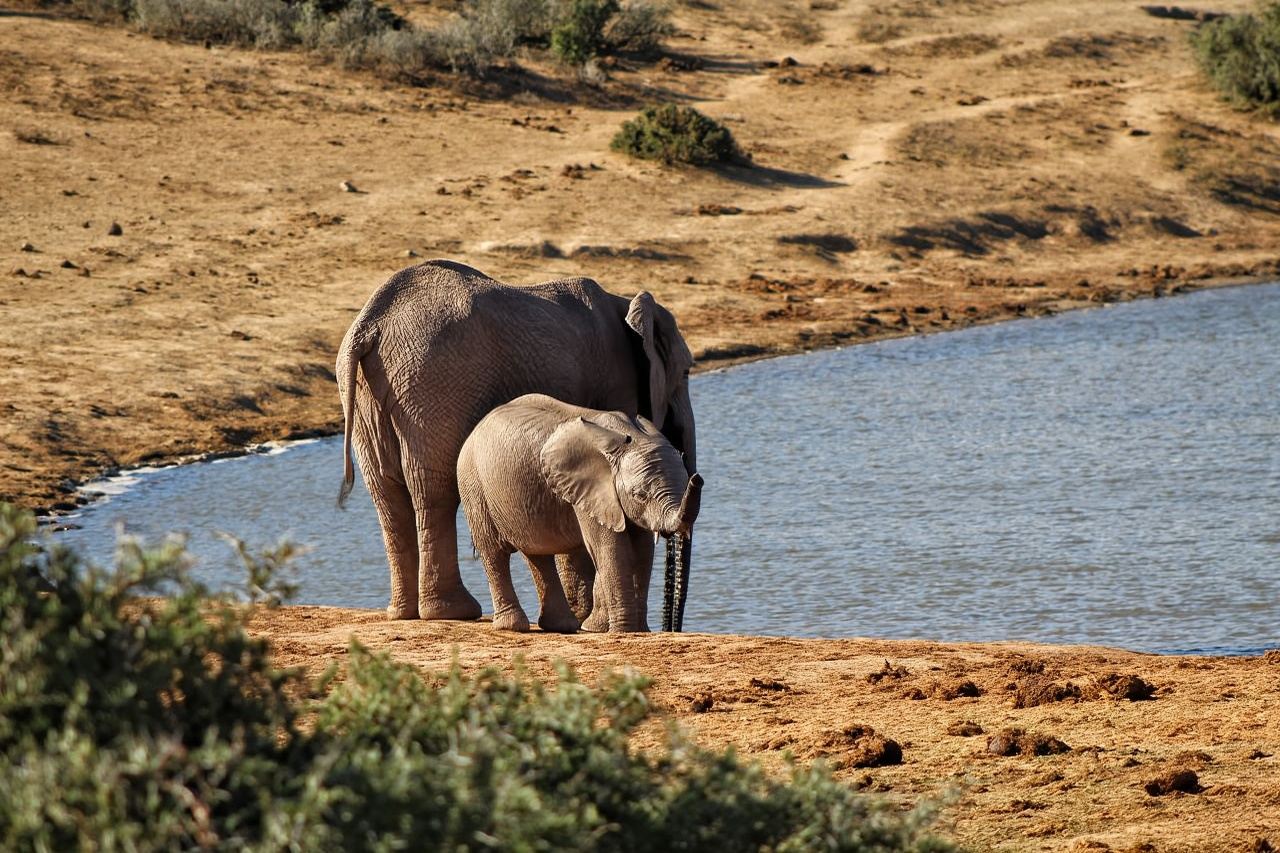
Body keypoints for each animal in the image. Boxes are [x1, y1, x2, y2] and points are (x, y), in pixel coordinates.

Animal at [457, 394, 704, 633]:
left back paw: (561, 626)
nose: (698, 478)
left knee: (536, 553)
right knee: (493, 551)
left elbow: (642, 551)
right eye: (639, 495)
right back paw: (513, 626)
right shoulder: (590, 493)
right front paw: (623, 632)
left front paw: (637, 631)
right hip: (472, 483)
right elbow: (611, 550)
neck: (629, 437)